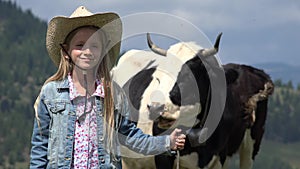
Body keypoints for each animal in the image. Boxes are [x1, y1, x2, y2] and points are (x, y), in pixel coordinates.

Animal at [111, 33, 274, 169]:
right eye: (158, 77)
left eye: (187, 77)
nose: (155, 108)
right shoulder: (163, 156)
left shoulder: (219, 157)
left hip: (252, 143)